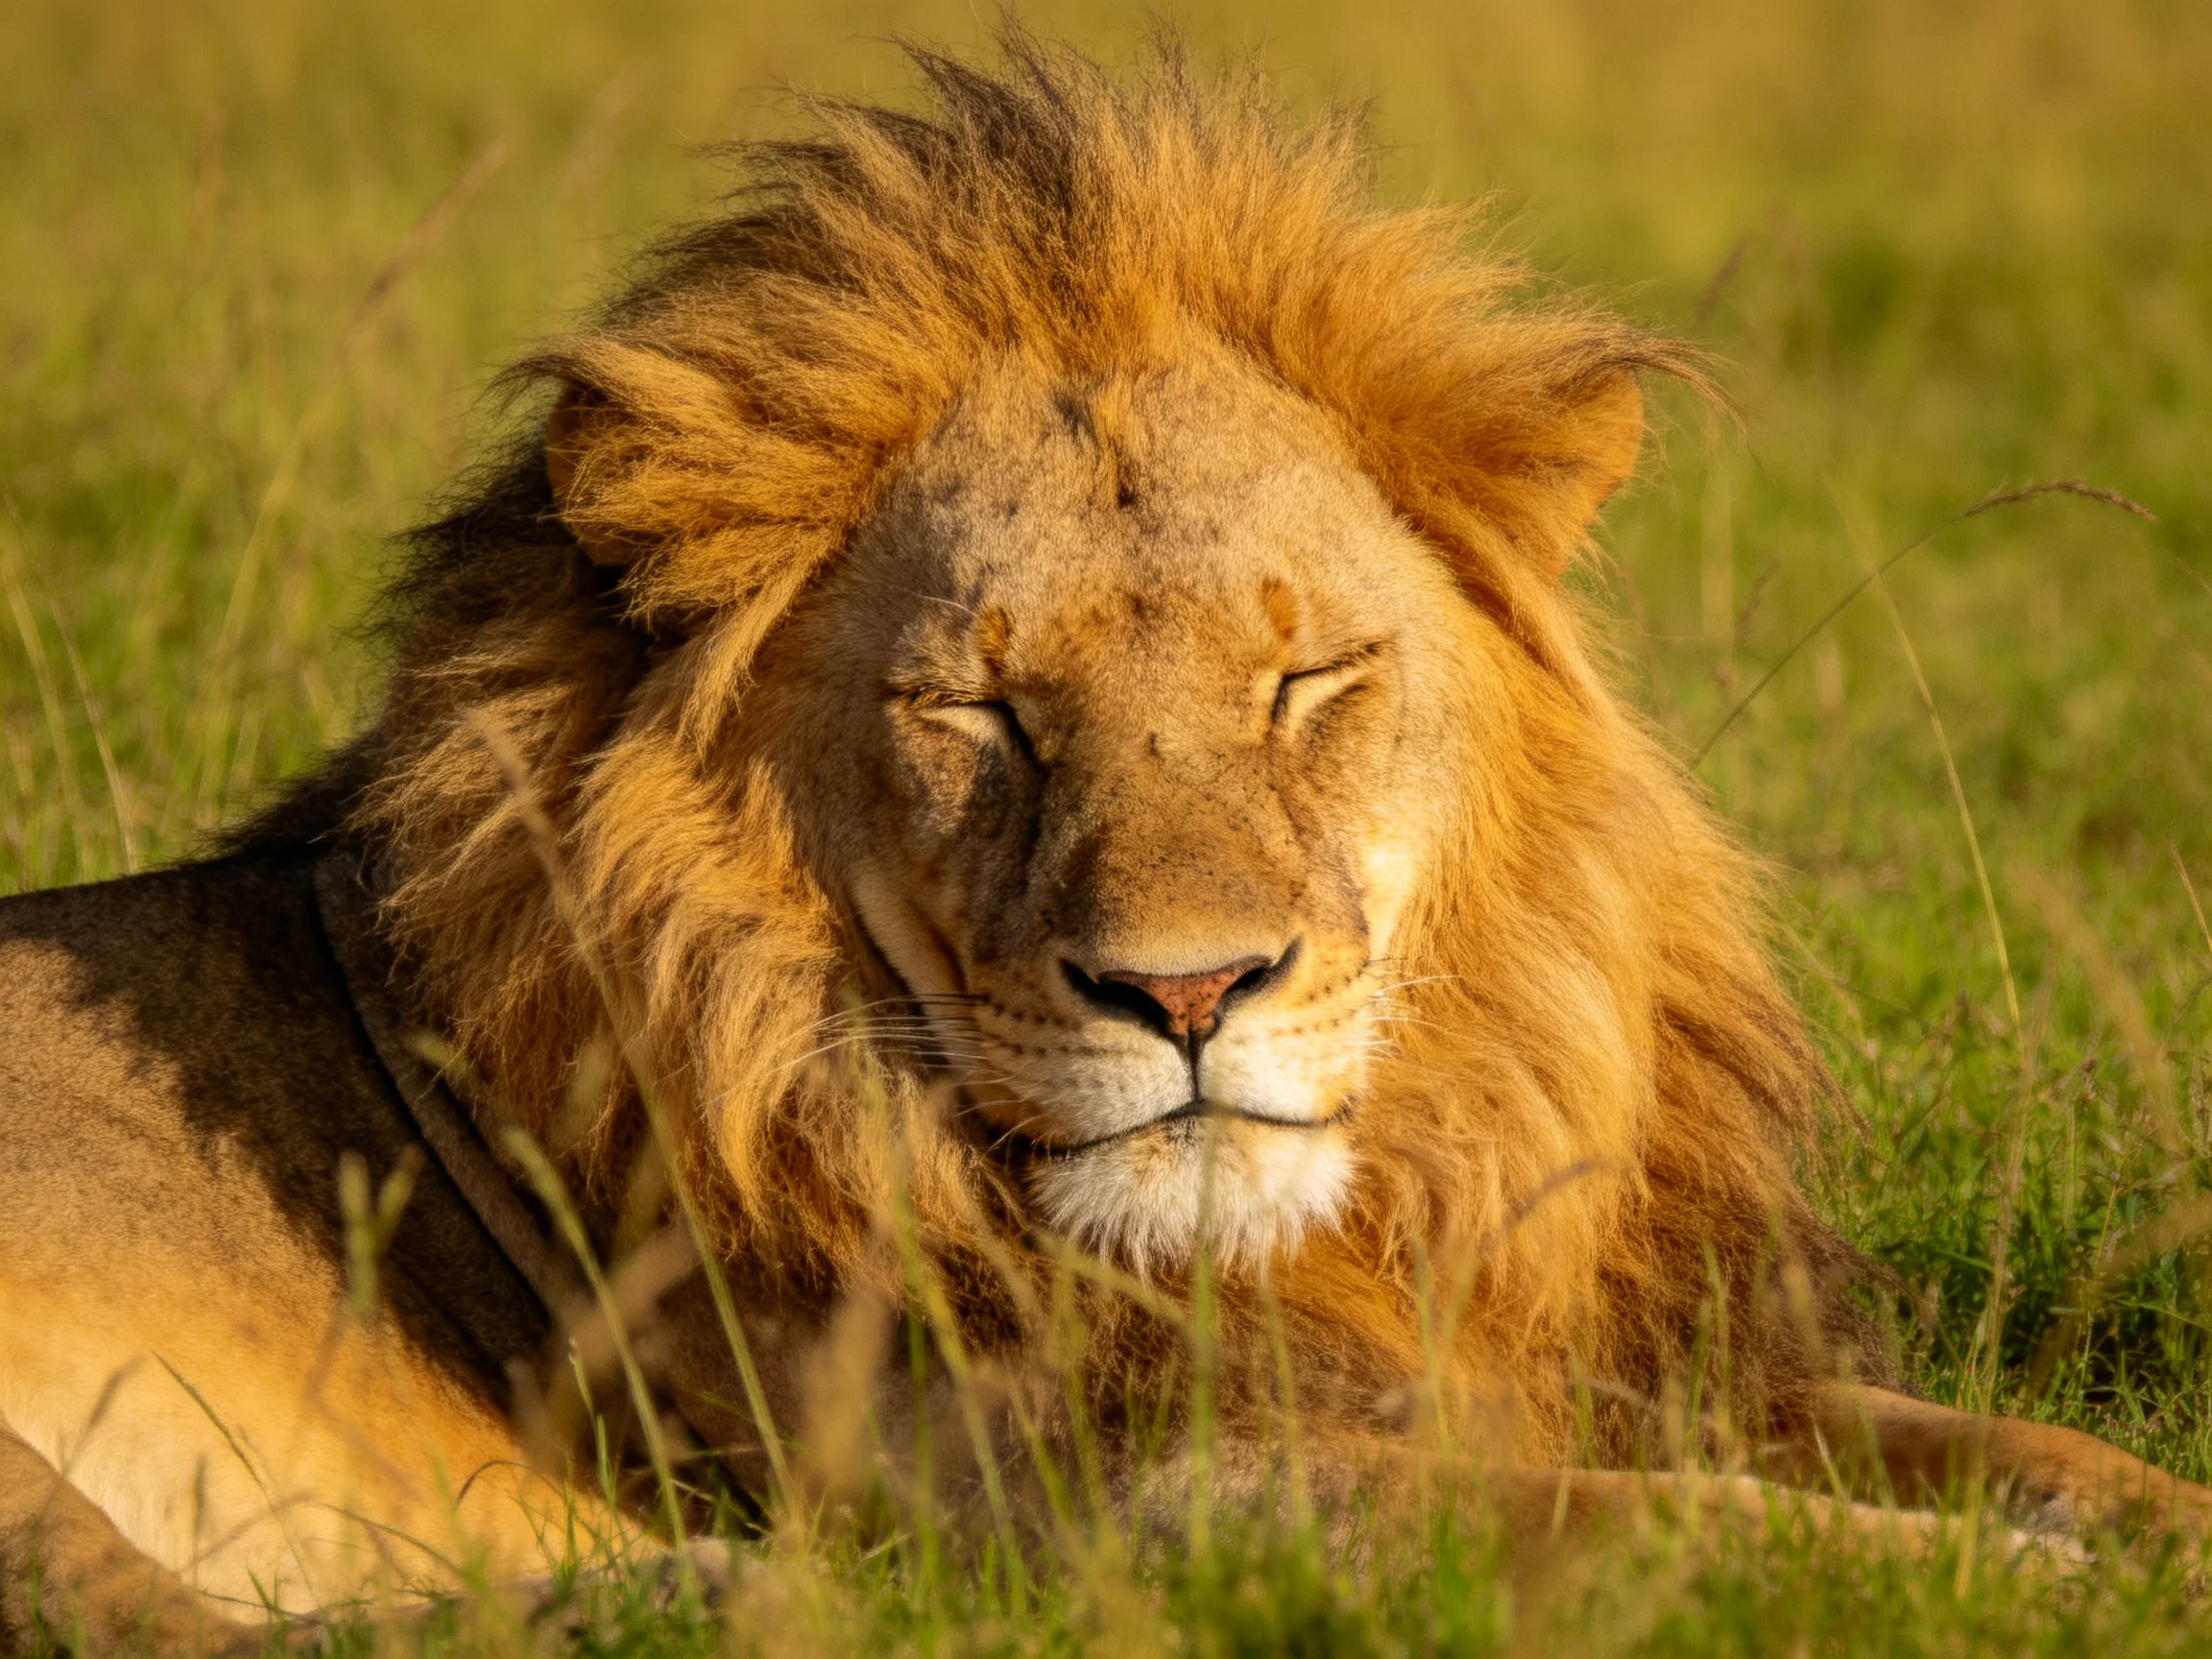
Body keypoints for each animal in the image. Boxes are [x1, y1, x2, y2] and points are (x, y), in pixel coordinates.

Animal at [2, 36, 2205, 1651]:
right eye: (981, 713)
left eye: (1303, 680)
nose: (1188, 990)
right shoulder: (1134, 1500)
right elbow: (1688, 1531)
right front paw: (1997, 1595)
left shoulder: (1551, 1349)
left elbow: (2016, 1448)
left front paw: (2139, 1534)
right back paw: (695, 1595)